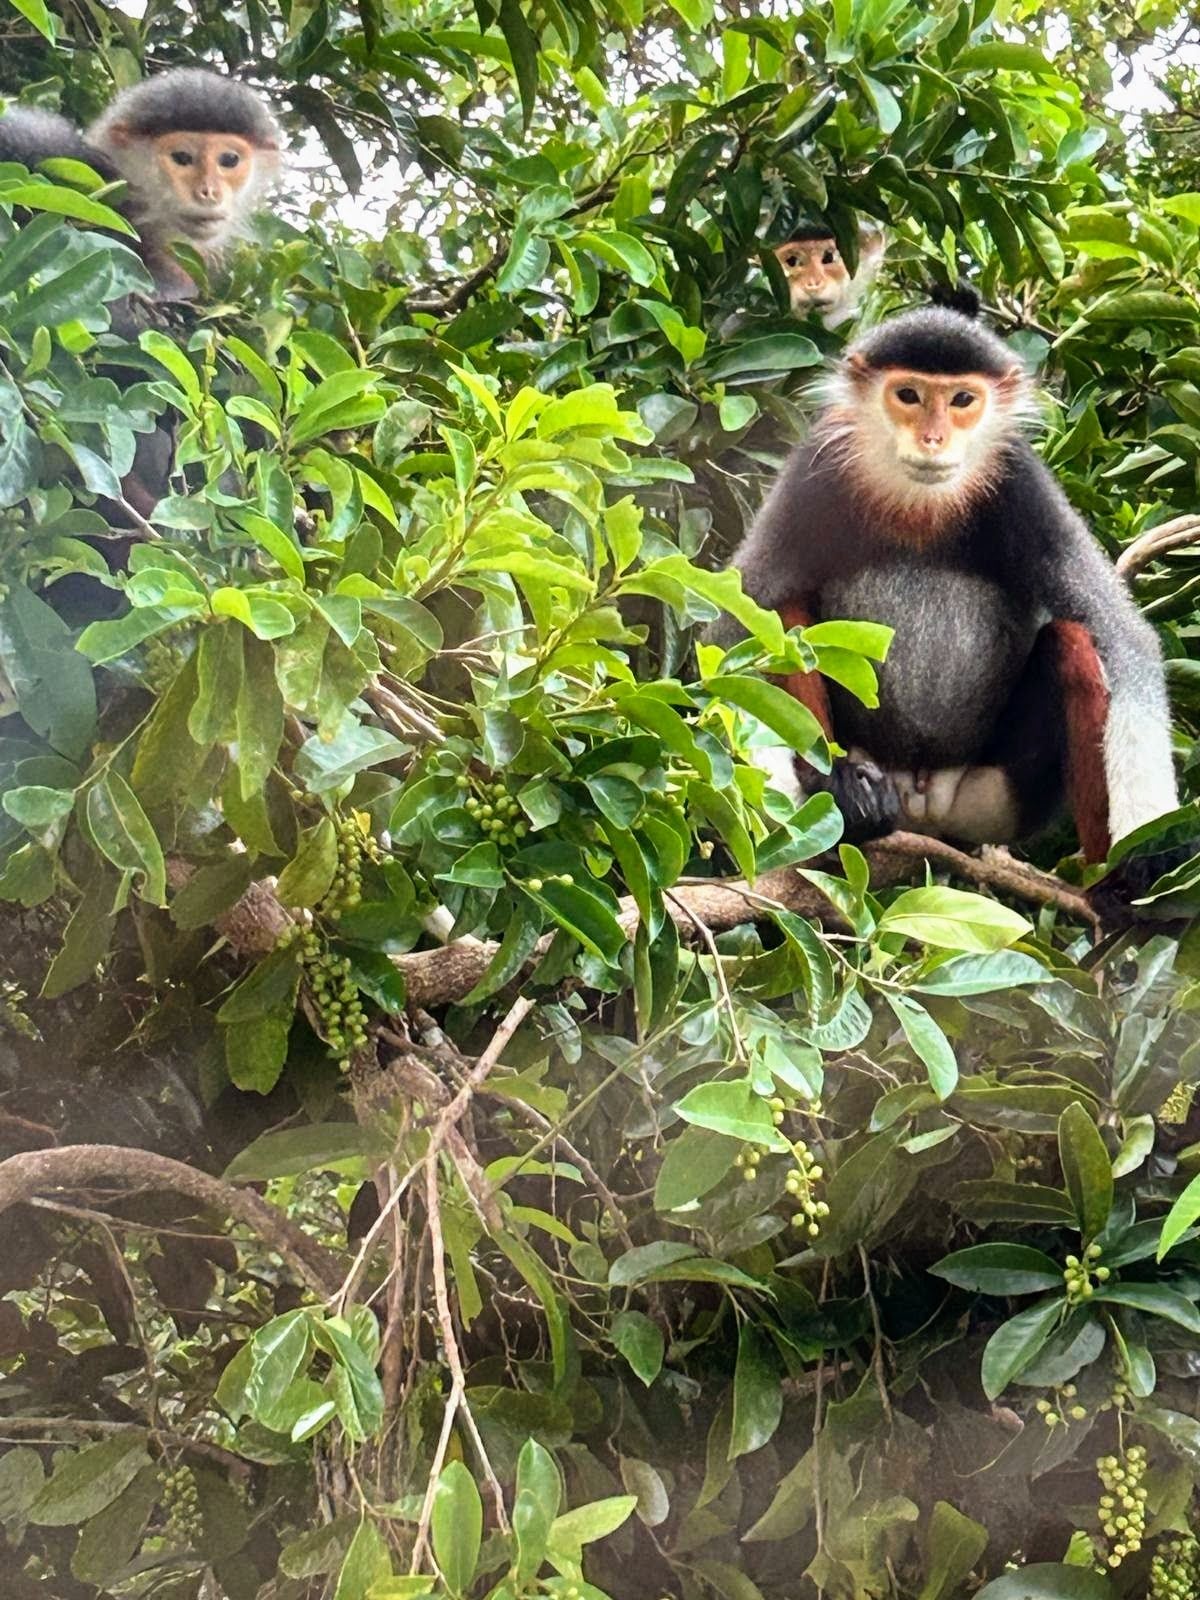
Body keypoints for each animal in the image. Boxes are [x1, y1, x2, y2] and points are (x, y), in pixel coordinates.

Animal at [707, 295, 1185, 880]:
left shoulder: (1023, 484)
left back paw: (1106, 882)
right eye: (908, 396)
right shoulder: (815, 468)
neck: (920, 507)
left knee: (1075, 643)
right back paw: (848, 797)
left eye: (962, 400)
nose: (932, 439)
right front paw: (795, 825)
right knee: (785, 614)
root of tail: (925, 799)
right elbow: (737, 621)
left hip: (995, 799)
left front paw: (1152, 853)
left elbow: (1125, 641)